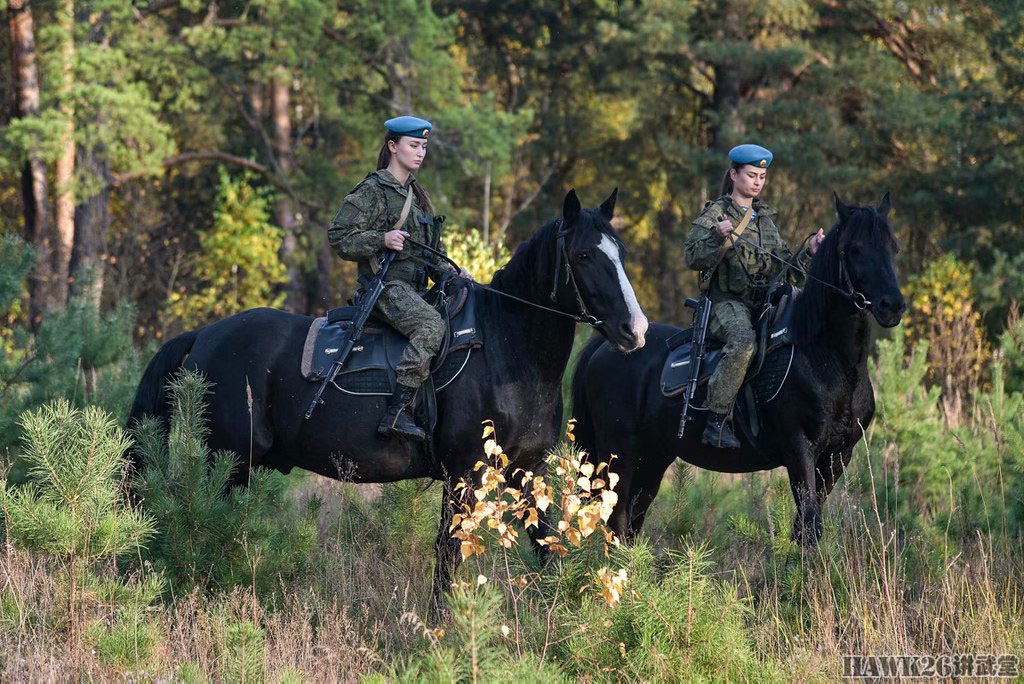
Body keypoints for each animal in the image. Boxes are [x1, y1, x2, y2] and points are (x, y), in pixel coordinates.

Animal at [130, 189, 647, 602]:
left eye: (621, 253)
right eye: (585, 256)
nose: (635, 330)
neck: (507, 349)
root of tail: (204, 335)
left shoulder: (526, 473)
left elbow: (545, 547)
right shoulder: (462, 477)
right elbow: (446, 557)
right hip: (227, 460)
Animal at [573, 193, 909, 544]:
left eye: (894, 247)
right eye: (855, 249)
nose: (893, 306)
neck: (829, 360)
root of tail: (606, 347)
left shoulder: (838, 456)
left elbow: (805, 525)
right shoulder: (800, 449)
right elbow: (809, 526)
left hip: (652, 459)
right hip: (619, 455)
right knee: (617, 519)